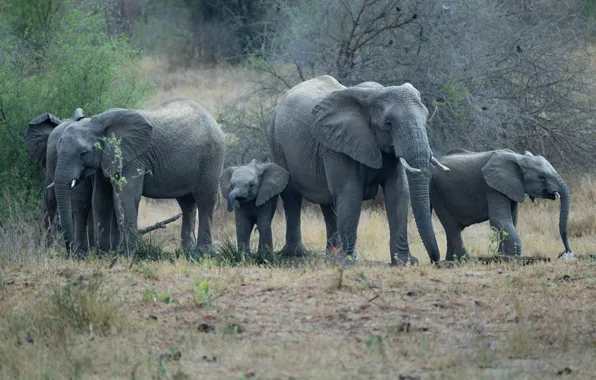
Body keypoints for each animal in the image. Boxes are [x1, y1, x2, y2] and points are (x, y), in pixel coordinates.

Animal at [50, 98, 226, 255]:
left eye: (83, 154)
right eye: (56, 149)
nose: (72, 252)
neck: (97, 122)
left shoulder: (132, 158)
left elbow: (127, 195)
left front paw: (128, 253)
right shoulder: (105, 160)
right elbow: (101, 199)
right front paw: (105, 254)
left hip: (211, 157)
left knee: (204, 200)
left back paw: (202, 253)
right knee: (187, 204)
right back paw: (188, 252)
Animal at [268, 74, 450, 264]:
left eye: (426, 118)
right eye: (388, 124)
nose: (435, 260)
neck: (372, 95)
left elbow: (398, 192)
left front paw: (403, 262)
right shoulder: (338, 144)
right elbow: (350, 193)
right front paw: (348, 261)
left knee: (328, 201)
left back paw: (331, 255)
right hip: (276, 141)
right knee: (291, 195)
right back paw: (297, 253)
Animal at [428, 148, 572, 262]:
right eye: (541, 177)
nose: (566, 253)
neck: (519, 158)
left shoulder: (511, 188)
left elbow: (512, 221)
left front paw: (502, 256)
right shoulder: (492, 188)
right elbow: (499, 220)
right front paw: (509, 258)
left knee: (454, 229)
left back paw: (450, 261)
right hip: (438, 194)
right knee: (453, 228)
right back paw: (466, 260)